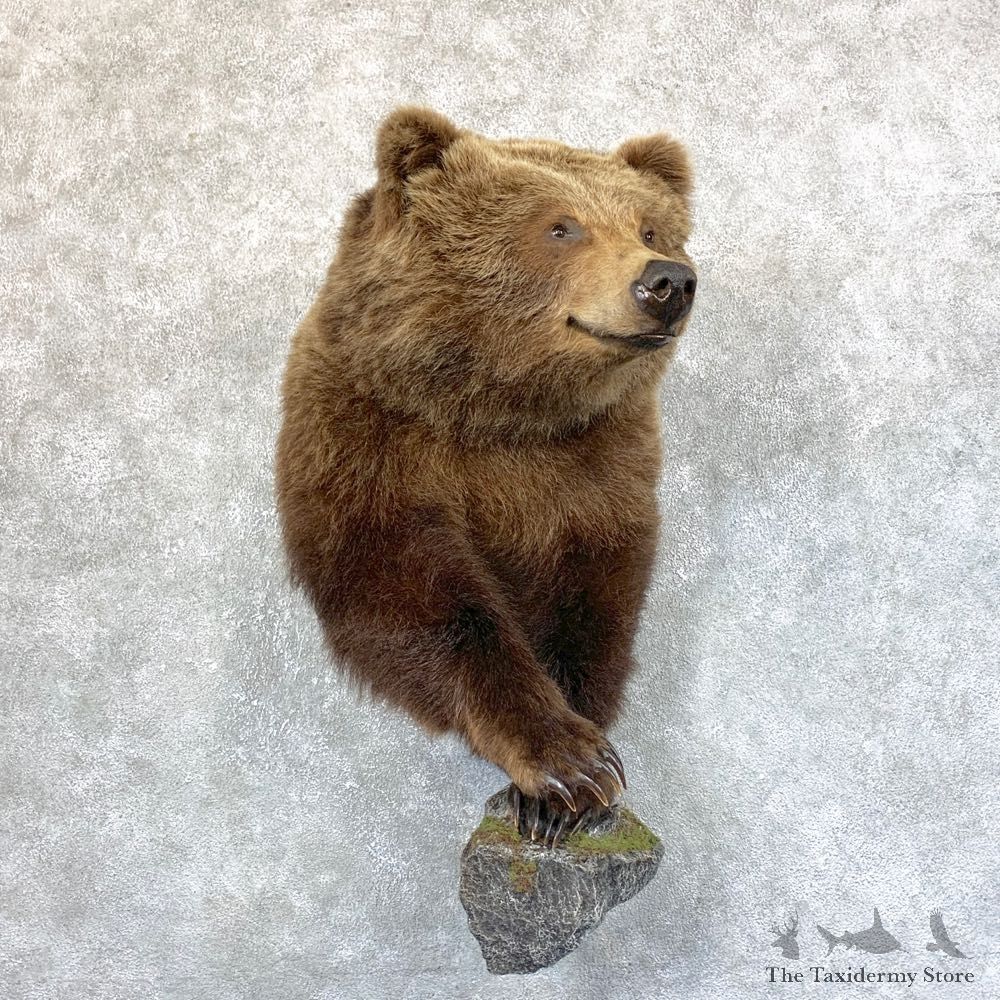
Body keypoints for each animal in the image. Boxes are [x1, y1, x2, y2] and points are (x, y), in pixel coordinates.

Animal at [274, 106, 696, 848]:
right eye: (561, 226)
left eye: (649, 228)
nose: (667, 280)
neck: (499, 411)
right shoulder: (368, 435)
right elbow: (411, 591)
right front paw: (567, 764)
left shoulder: (599, 459)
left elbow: (593, 596)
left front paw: (567, 789)